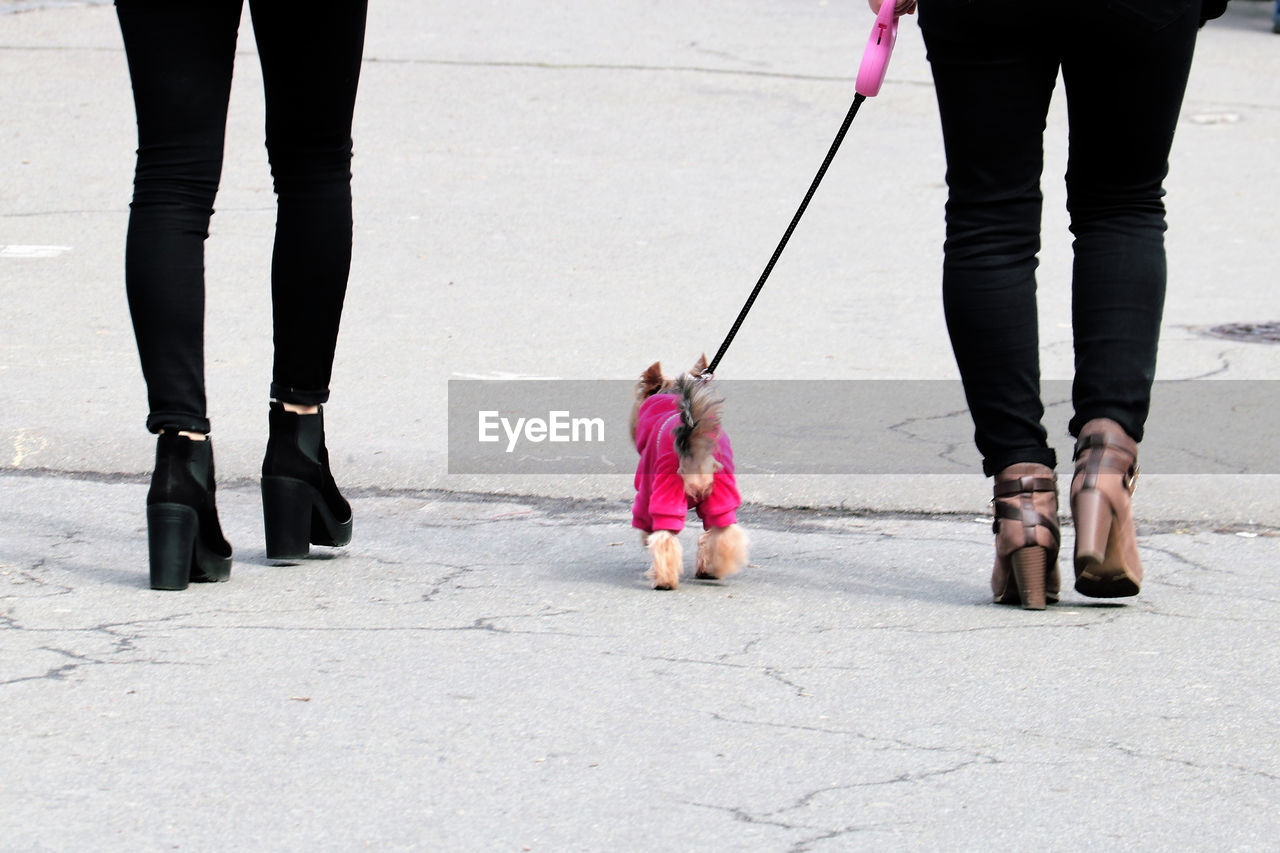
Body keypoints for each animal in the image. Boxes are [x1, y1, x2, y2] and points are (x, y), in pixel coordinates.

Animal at [632, 356, 747, 589]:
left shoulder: (646, 486)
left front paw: (645, 538)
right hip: (721, 490)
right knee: (722, 532)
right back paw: (714, 569)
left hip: (667, 488)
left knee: (665, 537)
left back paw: (664, 581)